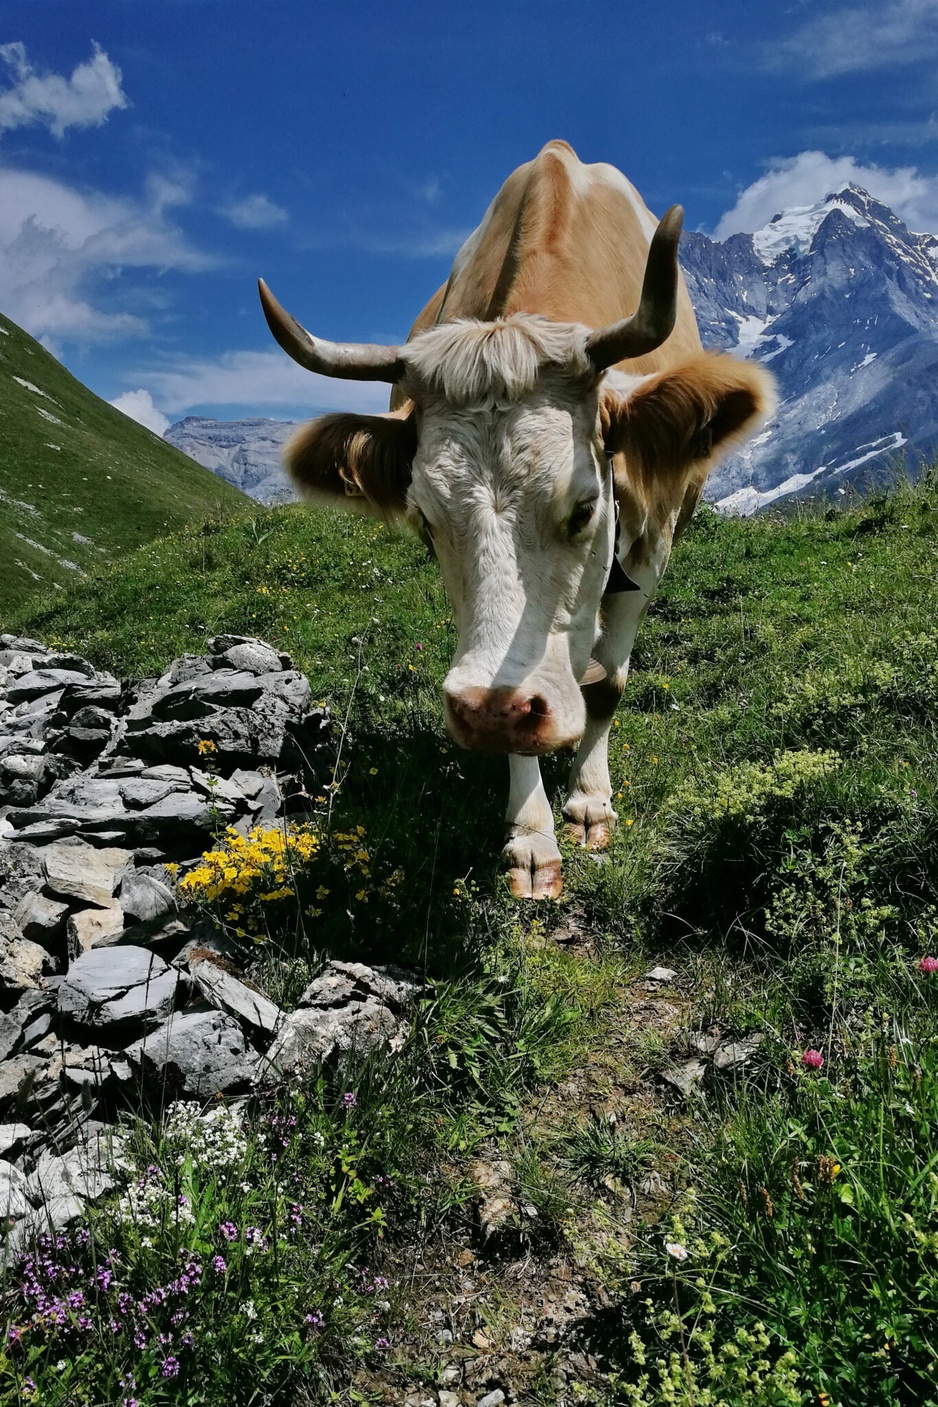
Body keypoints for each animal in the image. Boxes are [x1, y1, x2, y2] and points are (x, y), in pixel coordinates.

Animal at [259, 140, 774, 899]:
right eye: (425, 519)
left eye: (584, 506)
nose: (487, 709)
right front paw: (532, 837)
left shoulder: (651, 543)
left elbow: (609, 684)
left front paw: (589, 803)